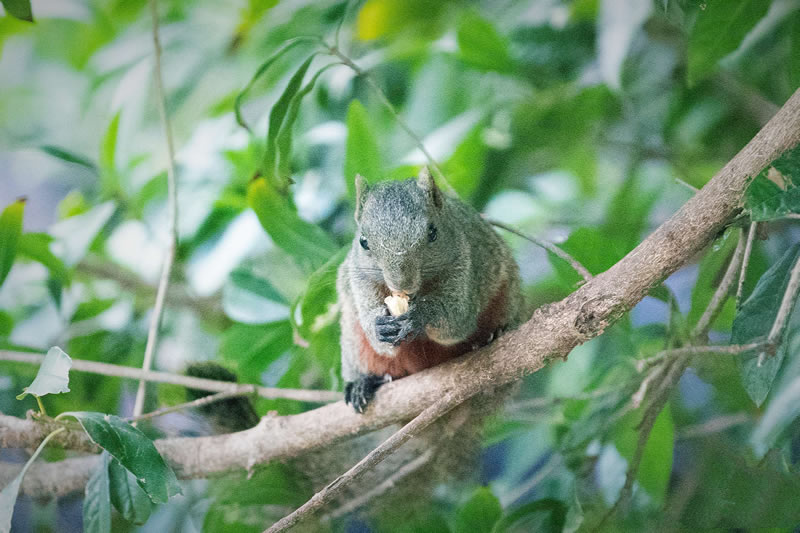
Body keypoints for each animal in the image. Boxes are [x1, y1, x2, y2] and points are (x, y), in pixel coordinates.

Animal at [336, 166, 524, 412]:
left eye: (433, 233)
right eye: (363, 241)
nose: (402, 283)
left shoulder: (466, 266)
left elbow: (456, 320)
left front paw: (420, 315)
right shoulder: (359, 280)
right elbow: (375, 334)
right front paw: (379, 326)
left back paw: (496, 335)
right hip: (353, 340)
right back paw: (362, 384)